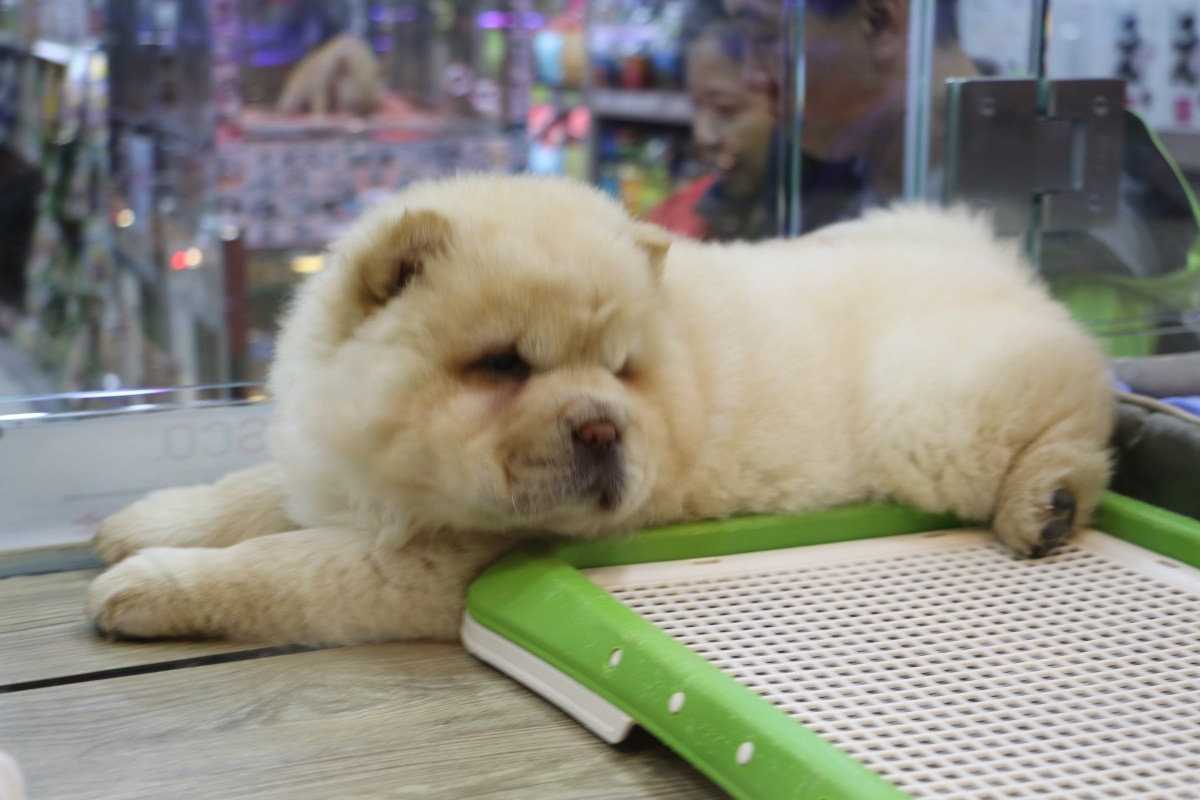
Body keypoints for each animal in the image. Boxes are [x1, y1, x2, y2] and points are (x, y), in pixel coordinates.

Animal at [86, 174, 1115, 645]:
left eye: (621, 371)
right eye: (504, 363)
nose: (601, 426)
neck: (392, 478)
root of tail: (985, 254)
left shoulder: (431, 564)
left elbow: (282, 563)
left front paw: (148, 586)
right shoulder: (332, 477)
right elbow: (253, 495)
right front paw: (144, 525)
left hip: (936, 418)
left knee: (1081, 407)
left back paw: (1046, 501)